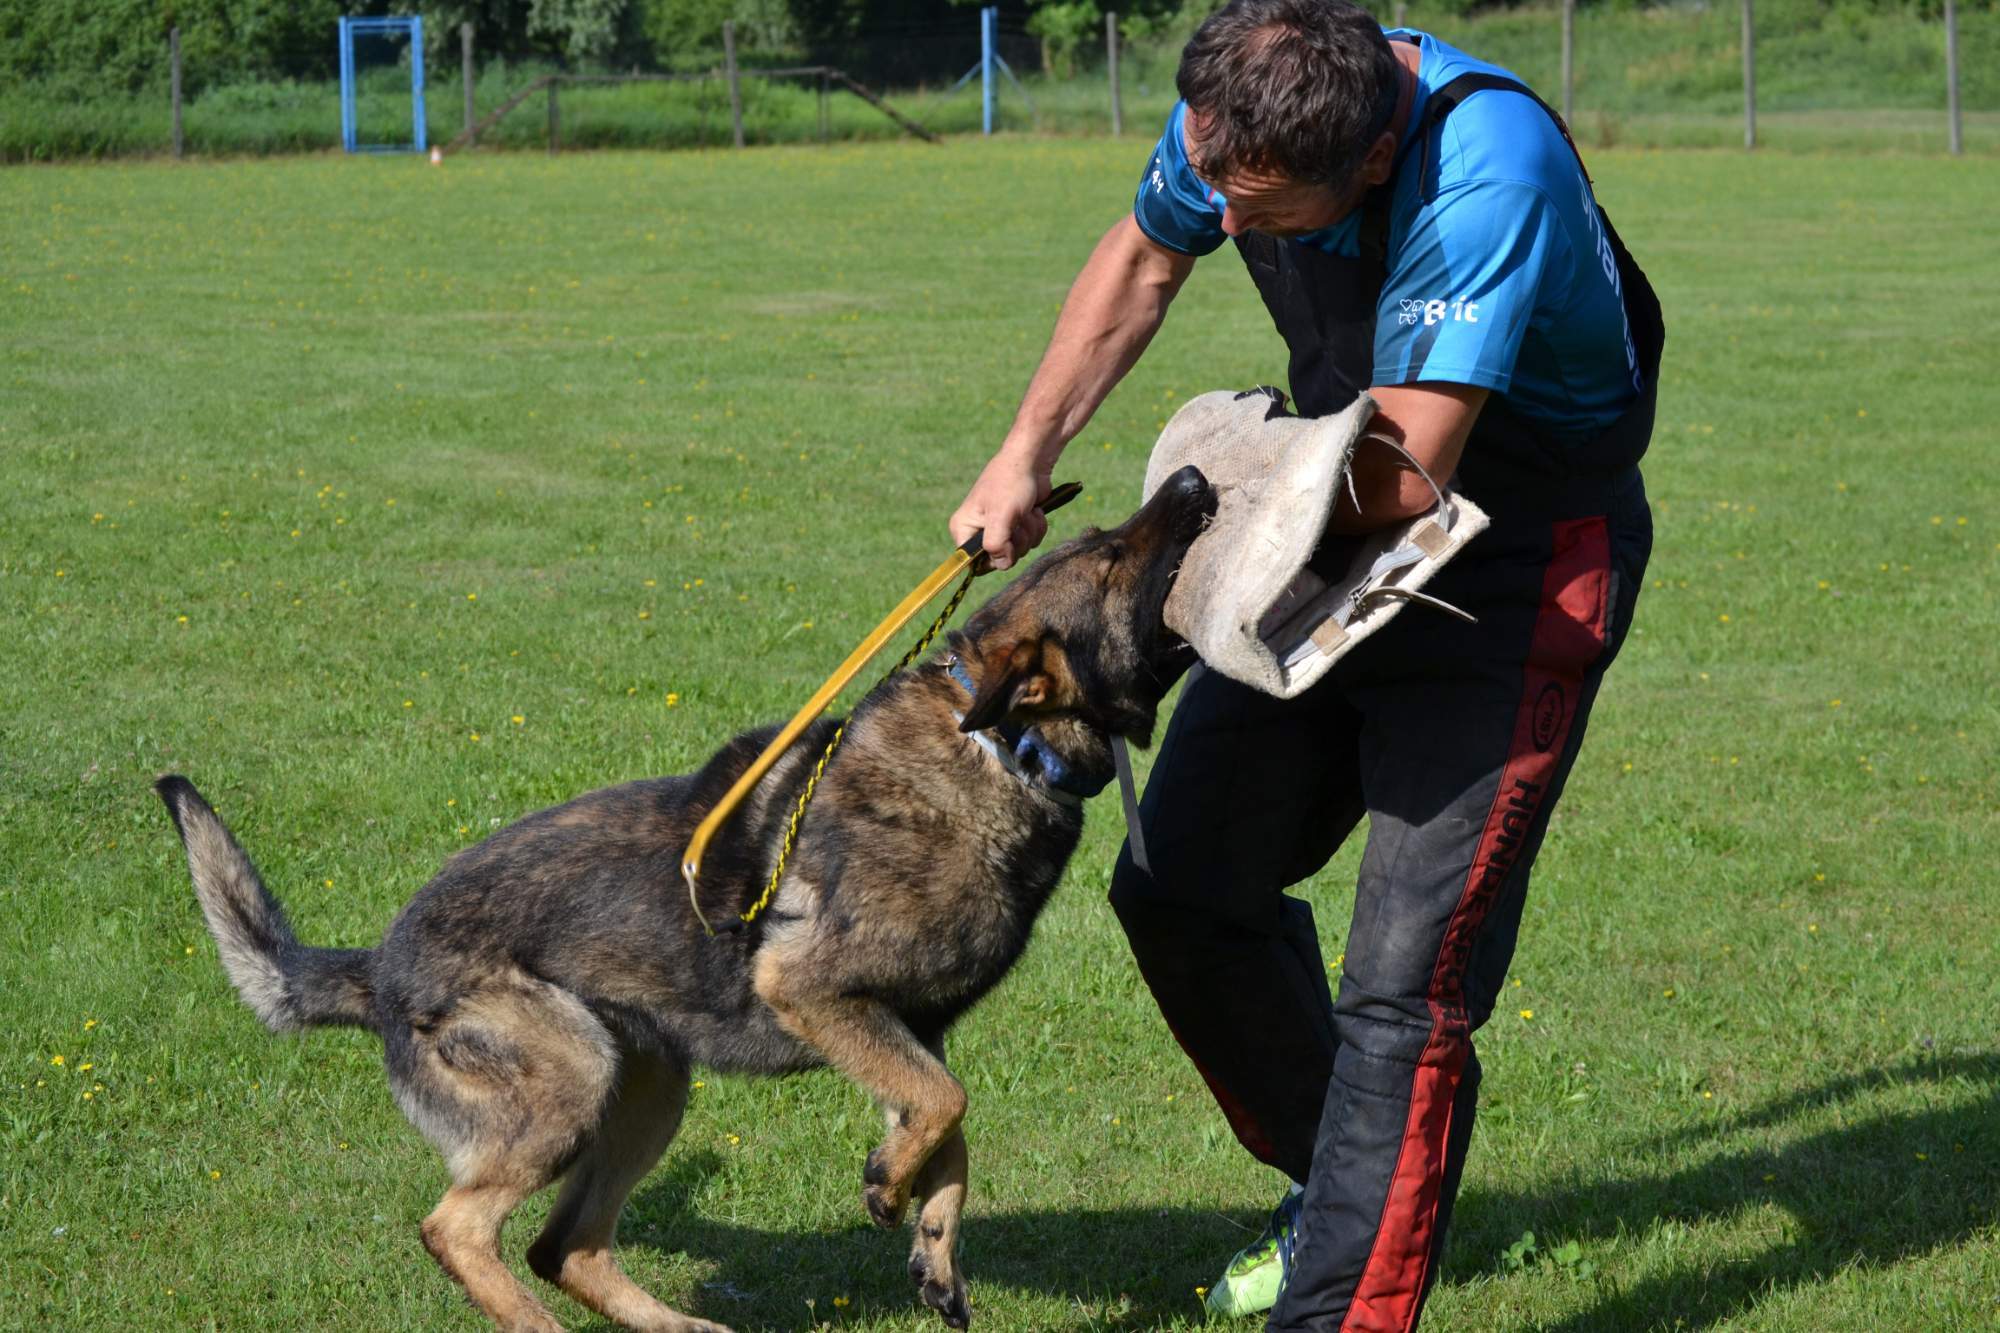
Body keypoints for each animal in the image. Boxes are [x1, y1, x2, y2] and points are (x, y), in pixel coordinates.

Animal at [156, 466, 1215, 1333]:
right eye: (1111, 554)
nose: (1195, 479)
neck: (999, 746)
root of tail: (379, 966)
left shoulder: (909, 1026)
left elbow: (948, 1128)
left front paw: (933, 1244)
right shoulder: (817, 991)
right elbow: (945, 1104)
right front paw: (891, 1190)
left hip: (651, 1087)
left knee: (563, 1246)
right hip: (572, 1074)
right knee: (458, 1229)